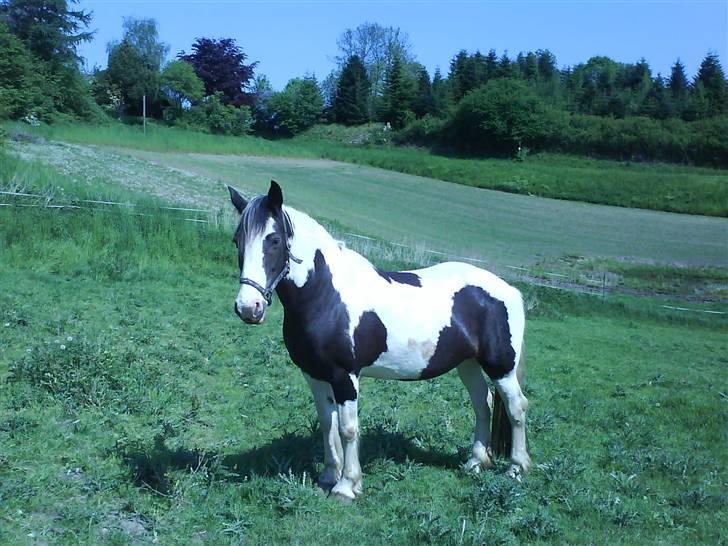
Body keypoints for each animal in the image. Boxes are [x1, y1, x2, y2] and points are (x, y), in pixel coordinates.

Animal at [228, 181, 528, 500]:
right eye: (237, 240)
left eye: (273, 240)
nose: (248, 308)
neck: (327, 296)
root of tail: (508, 289)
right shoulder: (314, 375)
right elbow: (327, 424)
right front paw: (328, 476)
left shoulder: (345, 376)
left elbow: (348, 429)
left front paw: (346, 486)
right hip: (467, 363)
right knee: (482, 404)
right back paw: (475, 462)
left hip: (501, 367)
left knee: (516, 407)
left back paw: (516, 469)